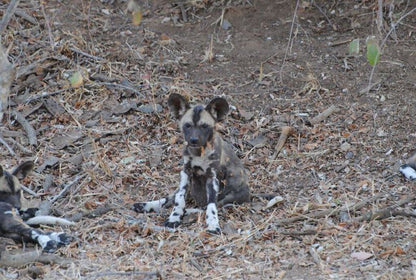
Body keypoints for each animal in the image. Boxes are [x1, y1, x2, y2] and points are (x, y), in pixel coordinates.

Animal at [134, 93, 250, 233]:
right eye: (187, 125)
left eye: (204, 126)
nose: (194, 140)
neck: (198, 153)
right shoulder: (186, 173)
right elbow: (179, 199)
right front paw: (174, 217)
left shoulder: (212, 179)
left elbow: (211, 206)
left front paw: (213, 224)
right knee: (171, 197)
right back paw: (146, 205)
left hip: (229, 195)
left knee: (208, 206)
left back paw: (188, 212)